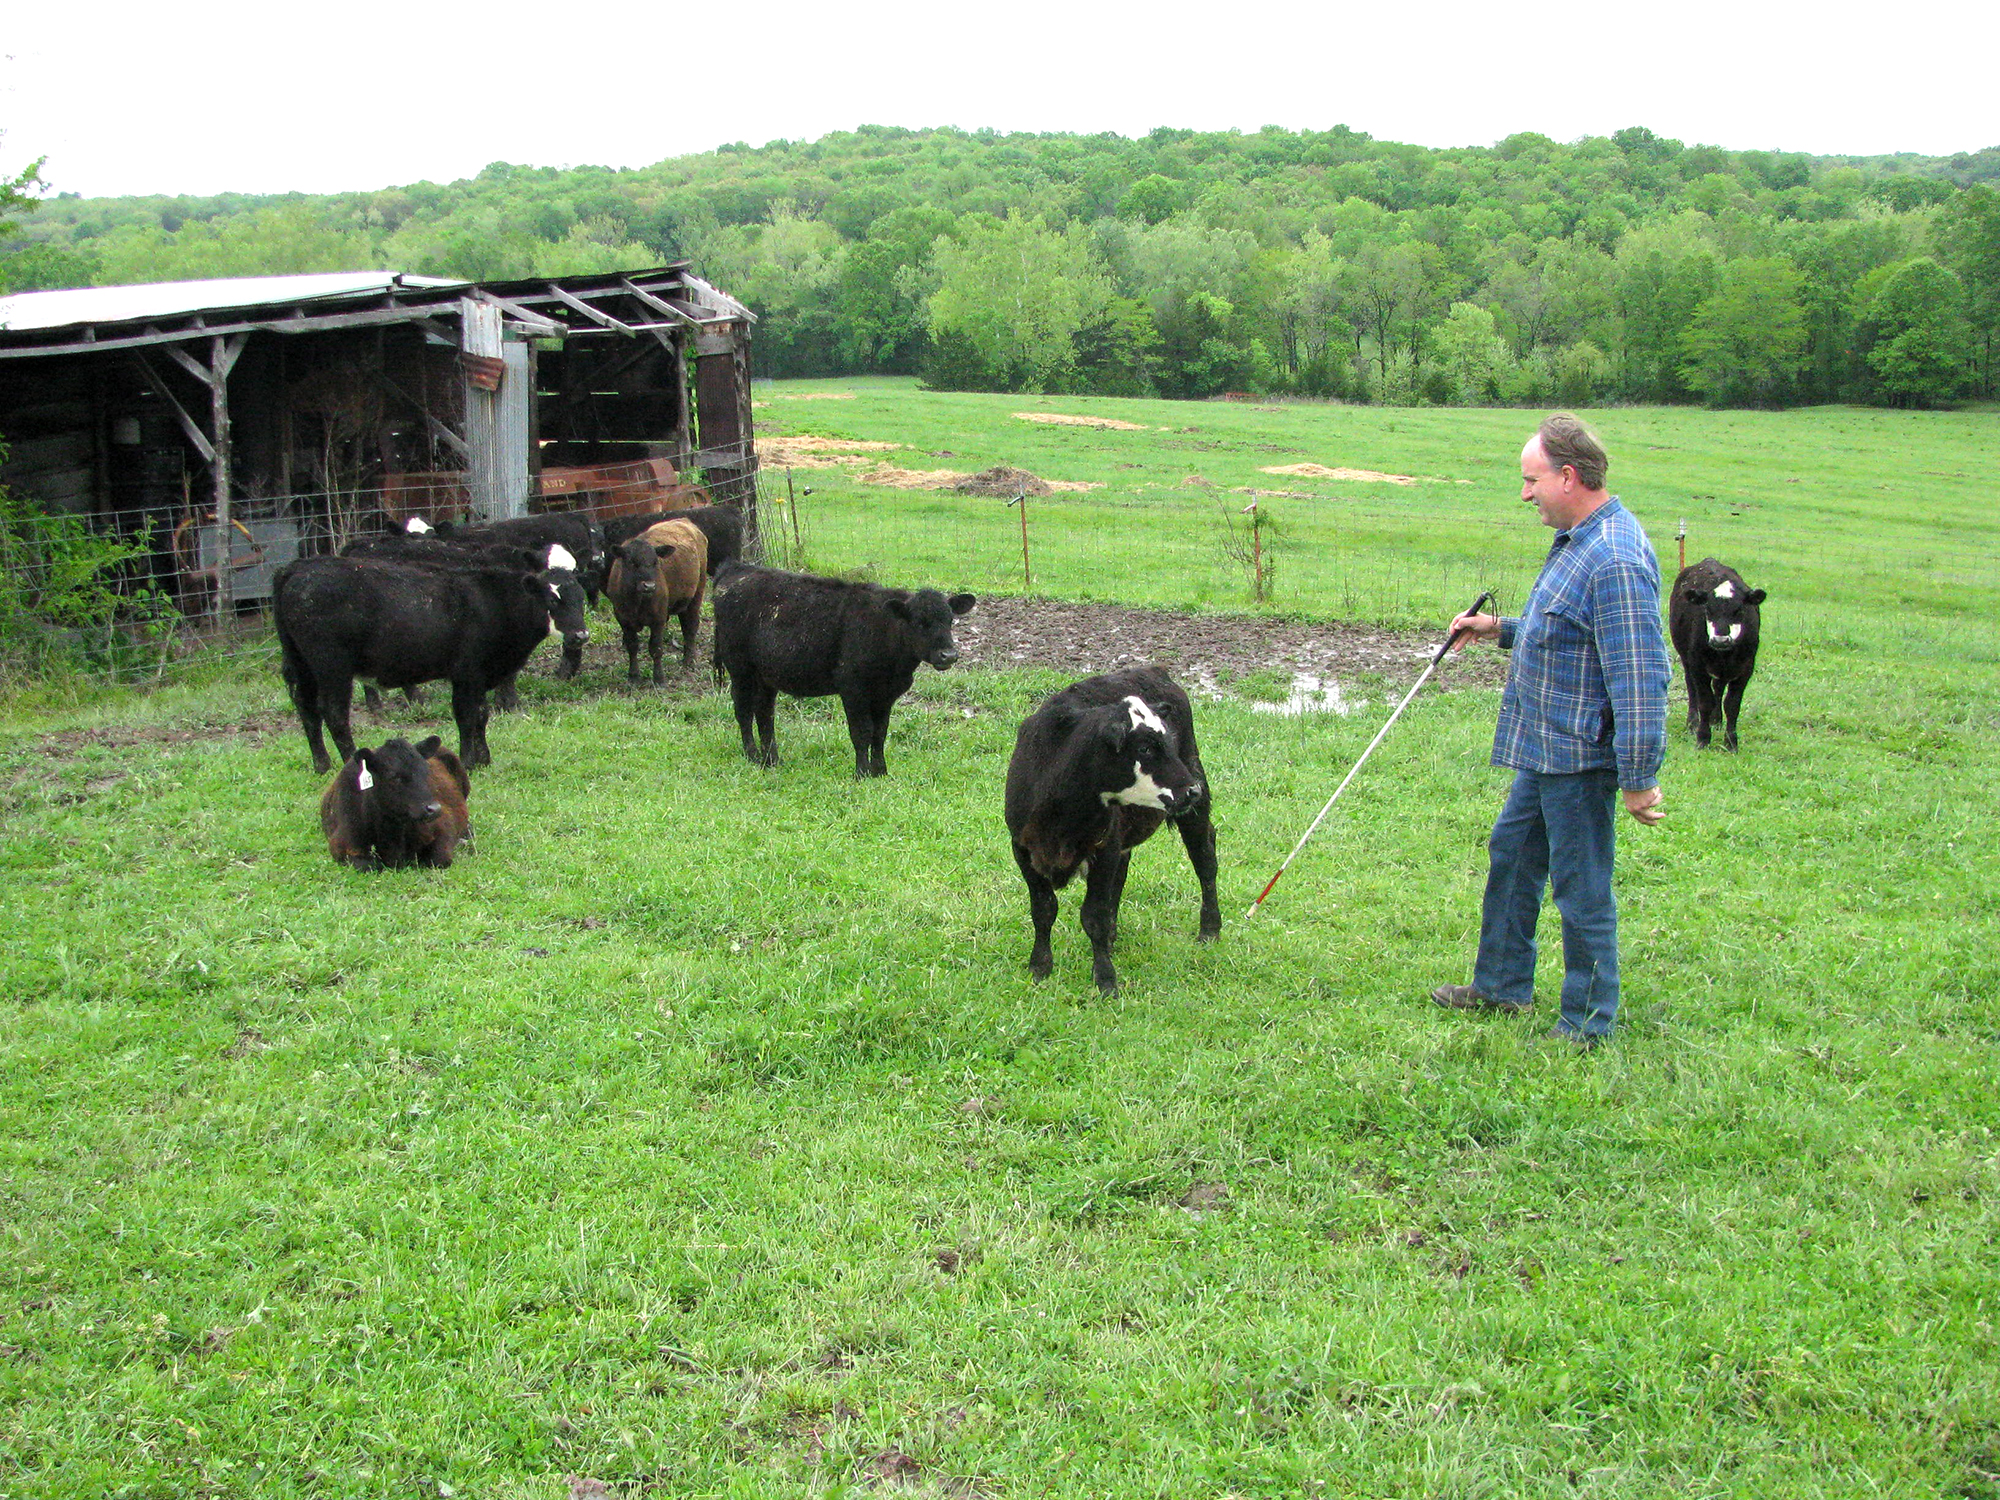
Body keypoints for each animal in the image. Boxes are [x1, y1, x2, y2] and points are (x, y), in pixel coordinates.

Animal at [274, 556, 584, 776]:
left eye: (581, 599)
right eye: (552, 599)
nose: (580, 635)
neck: (495, 603)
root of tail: (297, 567)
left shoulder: (480, 675)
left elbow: (481, 714)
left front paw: (484, 758)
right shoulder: (466, 673)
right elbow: (466, 715)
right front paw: (469, 761)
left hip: (302, 664)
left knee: (307, 710)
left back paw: (322, 765)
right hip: (332, 666)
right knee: (334, 713)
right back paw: (352, 764)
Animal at [604, 516, 708, 680]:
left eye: (655, 562)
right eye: (631, 562)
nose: (649, 586)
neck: (636, 602)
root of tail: (685, 521)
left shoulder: (658, 619)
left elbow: (656, 648)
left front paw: (659, 678)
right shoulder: (623, 619)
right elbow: (632, 646)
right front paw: (633, 675)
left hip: (697, 594)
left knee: (690, 627)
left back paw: (689, 660)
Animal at [712, 560, 976, 780]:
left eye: (950, 620)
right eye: (919, 623)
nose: (948, 655)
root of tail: (738, 568)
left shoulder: (887, 694)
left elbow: (880, 732)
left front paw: (880, 772)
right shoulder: (852, 687)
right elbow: (861, 732)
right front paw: (862, 773)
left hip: (766, 675)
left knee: (765, 713)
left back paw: (772, 760)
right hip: (740, 668)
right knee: (743, 710)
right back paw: (753, 756)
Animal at [1000, 668, 1216, 1000]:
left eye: (1167, 740)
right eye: (1144, 748)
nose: (1191, 790)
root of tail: (1153, 670)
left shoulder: (1103, 848)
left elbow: (1094, 916)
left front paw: (1105, 980)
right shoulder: (1023, 848)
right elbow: (1044, 909)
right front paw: (1040, 967)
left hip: (1194, 803)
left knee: (1205, 860)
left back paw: (1210, 929)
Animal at [1672, 560, 1768, 752]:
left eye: (1739, 610)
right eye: (1707, 609)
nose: (1720, 640)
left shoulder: (1746, 668)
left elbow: (1732, 705)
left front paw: (1731, 743)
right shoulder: (1698, 666)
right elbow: (1704, 701)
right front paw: (1703, 738)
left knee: (1718, 686)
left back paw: (1716, 720)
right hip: (1686, 659)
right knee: (1692, 688)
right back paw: (1693, 723)